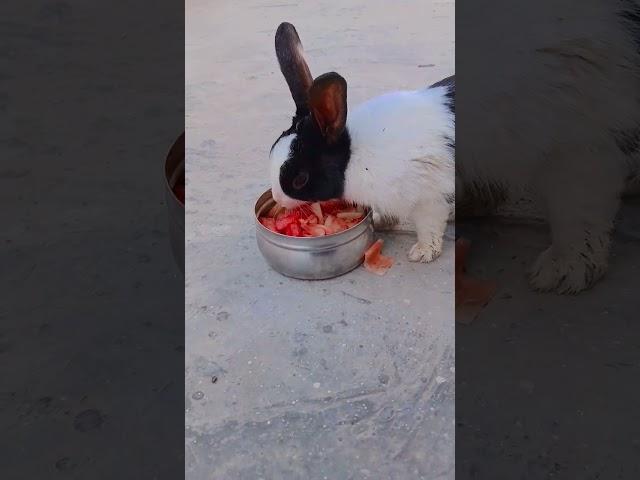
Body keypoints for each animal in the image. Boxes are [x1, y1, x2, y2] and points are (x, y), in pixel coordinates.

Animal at [268, 22, 456, 262]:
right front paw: (380, 222)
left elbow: (428, 226)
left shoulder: (430, 199)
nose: (278, 199)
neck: (353, 157)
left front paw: (422, 253)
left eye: (300, 179)